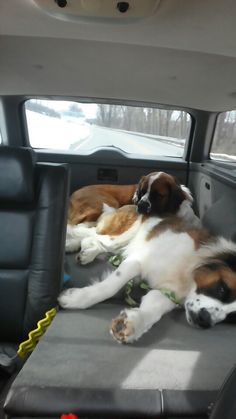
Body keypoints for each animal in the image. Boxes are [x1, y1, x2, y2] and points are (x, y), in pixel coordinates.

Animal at [59, 171, 236, 344]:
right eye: (222, 289)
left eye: (232, 317)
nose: (204, 320)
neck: (189, 270)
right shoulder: (136, 261)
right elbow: (109, 287)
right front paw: (77, 299)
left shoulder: (167, 293)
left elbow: (153, 309)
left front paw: (134, 323)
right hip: (123, 234)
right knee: (92, 235)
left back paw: (82, 250)